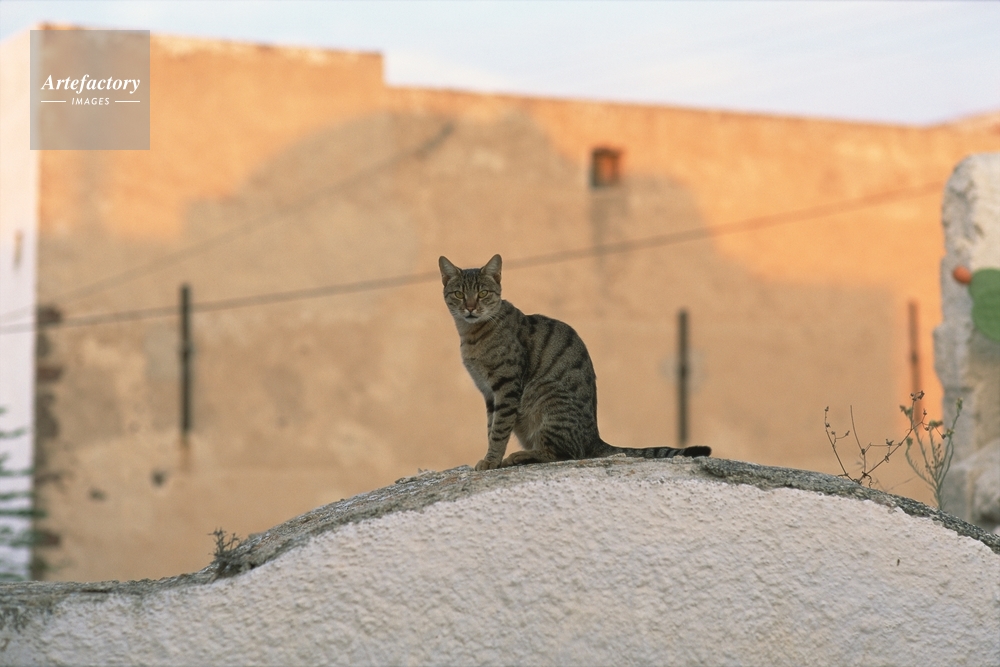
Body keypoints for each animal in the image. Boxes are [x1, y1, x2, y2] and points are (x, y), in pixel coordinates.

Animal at [439, 254, 711, 471]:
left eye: (483, 293)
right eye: (459, 294)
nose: (470, 308)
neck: (471, 335)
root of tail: (595, 437)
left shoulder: (506, 387)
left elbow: (498, 430)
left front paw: (492, 460)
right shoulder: (489, 393)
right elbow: (491, 427)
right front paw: (490, 457)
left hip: (547, 396)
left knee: (564, 453)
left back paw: (521, 456)